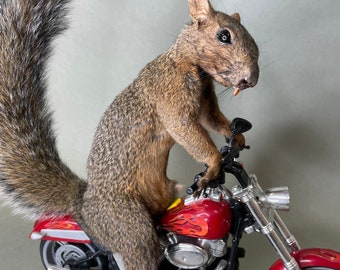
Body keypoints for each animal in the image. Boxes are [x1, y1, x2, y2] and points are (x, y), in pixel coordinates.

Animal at [0, 0, 258, 268]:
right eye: (224, 36)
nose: (251, 79)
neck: (186, 64)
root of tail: (83, 208)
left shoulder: (206, 97)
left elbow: (212, 118)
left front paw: (237, 138)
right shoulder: (169, 92)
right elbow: (183, 127)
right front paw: (214, 164)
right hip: (126, 223)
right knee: (137, 246)